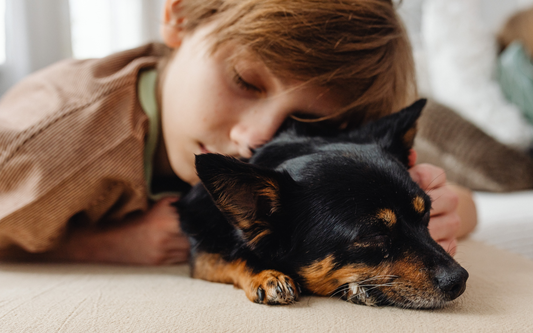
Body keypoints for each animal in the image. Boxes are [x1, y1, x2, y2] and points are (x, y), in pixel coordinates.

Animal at [175, 99, 466, 308]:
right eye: (373, 234)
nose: (460, 280)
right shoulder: (203, 249)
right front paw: (267, 274)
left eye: (427, 214)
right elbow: (233, 255)